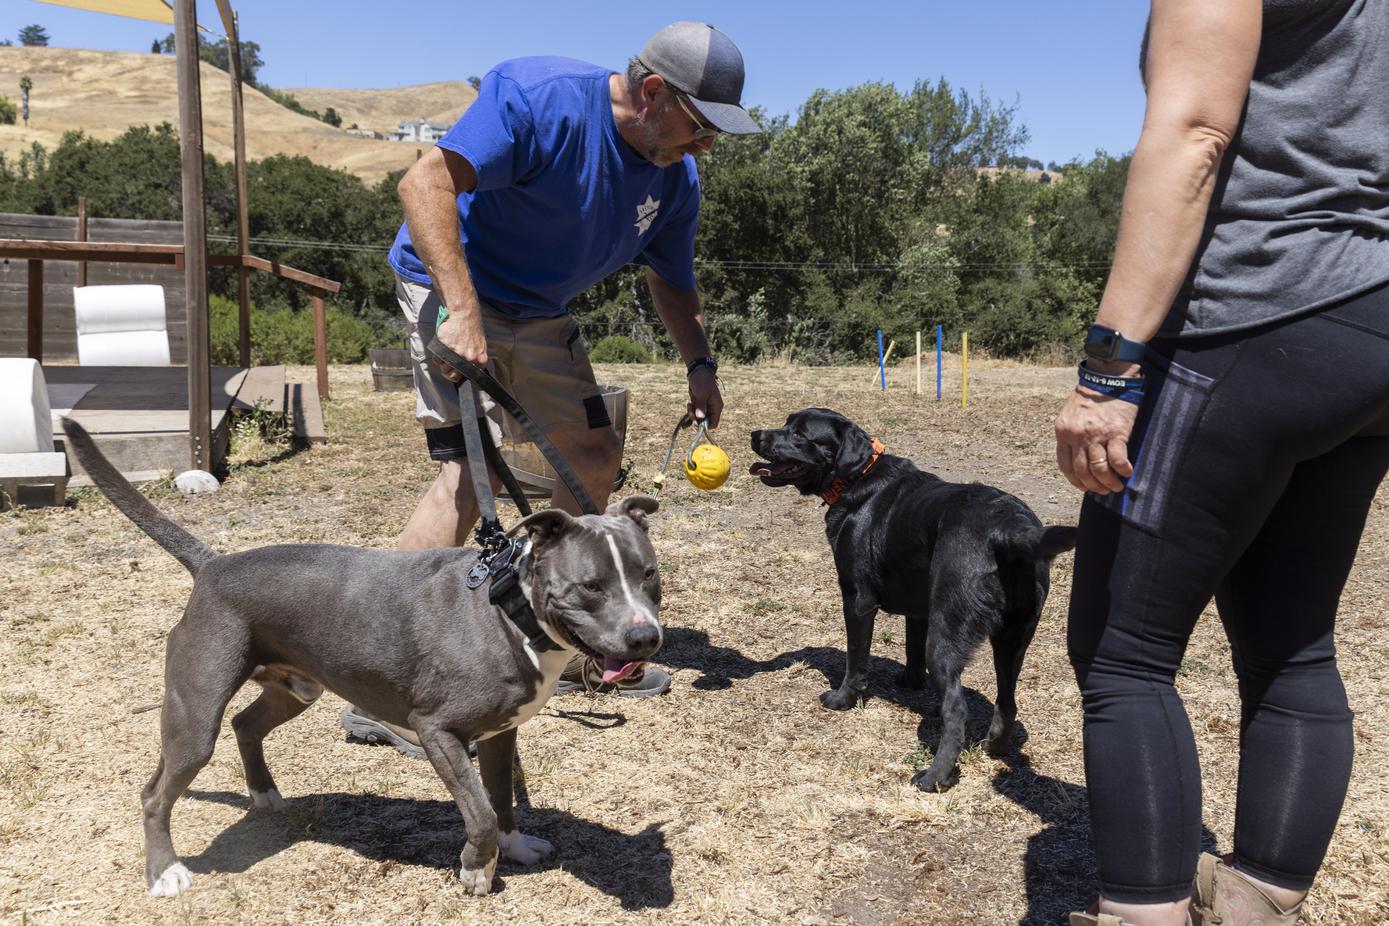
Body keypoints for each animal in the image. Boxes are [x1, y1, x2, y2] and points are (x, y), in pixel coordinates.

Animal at [65, 419, 666, 899]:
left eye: (649, 575)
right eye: (591, 586)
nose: (645, 638)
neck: (510, 610)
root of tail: (213, 565)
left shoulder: (501, 734)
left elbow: (501, 799)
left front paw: (515, 848)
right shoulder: (438, 730)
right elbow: (478, 810)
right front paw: (477, 870)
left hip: (297, 687)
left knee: (246, 724)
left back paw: (266, 795)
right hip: (194, 717)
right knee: (156, 792)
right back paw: (165, 873)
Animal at [750, 408, 1072, 794]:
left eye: (799, 434)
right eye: (786, 424)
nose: (754, 434)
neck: (858, 476)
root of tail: (1009, 529)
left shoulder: (857, 598)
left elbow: (856, 658)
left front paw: (843, 699)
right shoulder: (920, 609)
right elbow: (911, 647)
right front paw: (910, 681)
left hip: (948, 634)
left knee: (957, 710)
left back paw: (935, 777)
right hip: (1013, 640)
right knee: (1007, 701)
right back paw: (994, 747)